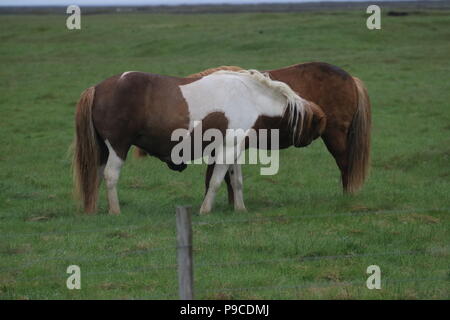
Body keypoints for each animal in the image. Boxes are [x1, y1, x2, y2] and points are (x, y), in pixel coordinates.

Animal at [74, 70, 326, 215]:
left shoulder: (233, 149)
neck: (250, 98)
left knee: (96, 177)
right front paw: (205, 210)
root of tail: (97, 88)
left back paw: (93, 209)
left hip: (102, 150)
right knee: (110, 176)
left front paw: (240, 209)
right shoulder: (226, 150)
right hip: (118, 147)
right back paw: (115, 211)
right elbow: (215, 182)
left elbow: (237, 182)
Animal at [134, 62, 372, 208]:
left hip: (335, 137)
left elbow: (214, 178)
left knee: (345, 164)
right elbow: (227, 177)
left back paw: (348, 196)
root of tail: (351, 79)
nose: (176, 164)